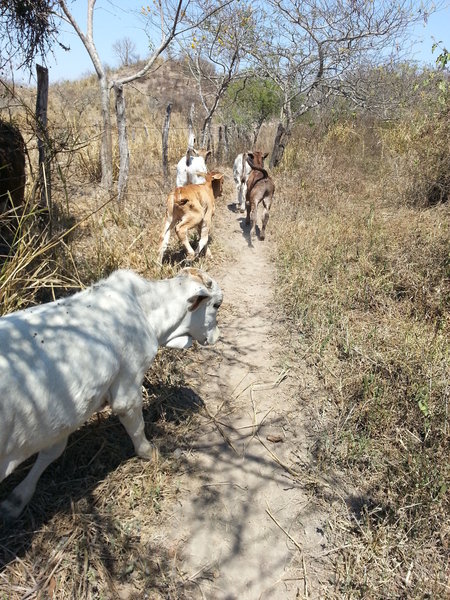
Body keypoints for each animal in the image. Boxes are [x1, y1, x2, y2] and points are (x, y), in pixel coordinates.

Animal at [0, 268, 221, 520]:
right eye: (217, 305)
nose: (217, 336)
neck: (146, 311)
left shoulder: (60, 419)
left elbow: (52, 452)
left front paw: (17, 499)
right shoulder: (128, 385)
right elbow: (137, 427)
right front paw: (150, 452)